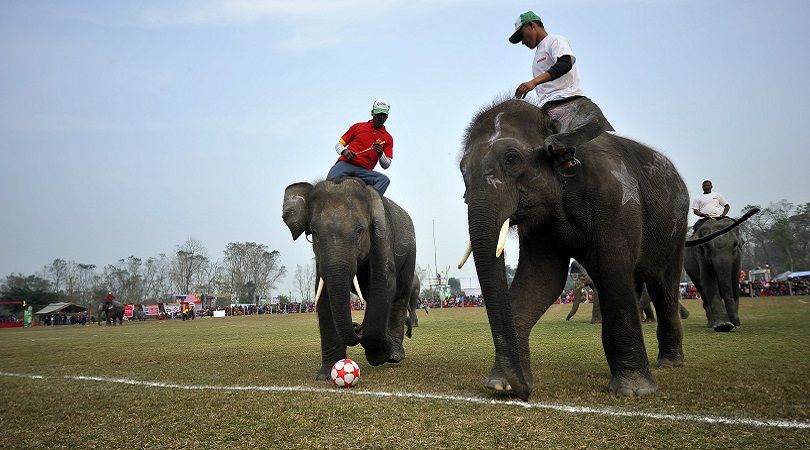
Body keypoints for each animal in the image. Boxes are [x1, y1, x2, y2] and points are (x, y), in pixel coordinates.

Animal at [283, 177, 417, 380]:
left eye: (360, 231)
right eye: (313, 233)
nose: (356, 326)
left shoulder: (381, 233)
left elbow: (384, 284)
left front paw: (378, 356)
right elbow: (324, 296)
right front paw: (325, 374)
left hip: (410, 253)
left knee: (399, 297)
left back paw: (394, 355)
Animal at [457, 99, 689, 399]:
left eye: (511, 159)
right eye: (462, 170)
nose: (526, 393)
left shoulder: (614, 198)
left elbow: (611, 271)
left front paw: (633, 391)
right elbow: (541, 280)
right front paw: (500, 384)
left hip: (676, 227)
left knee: (664, 285)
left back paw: (670, 363)